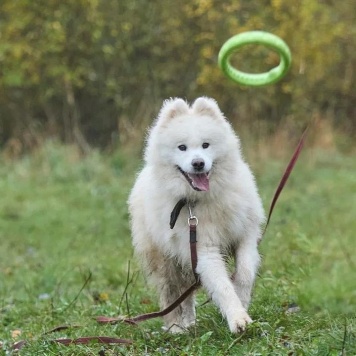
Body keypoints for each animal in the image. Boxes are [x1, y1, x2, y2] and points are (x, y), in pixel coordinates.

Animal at [128, 96, 264, 334]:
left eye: (205, 145)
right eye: (182, 147)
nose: (198, 163)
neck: (201, 199)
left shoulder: (245, 235)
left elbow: (245, 273)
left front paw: (243, 299)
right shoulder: (204, 250)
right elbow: (222, 286)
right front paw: (238, 319)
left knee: (186, 293)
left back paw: (190, 322)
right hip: (165, 259)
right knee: (171, 295)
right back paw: (176, 328)